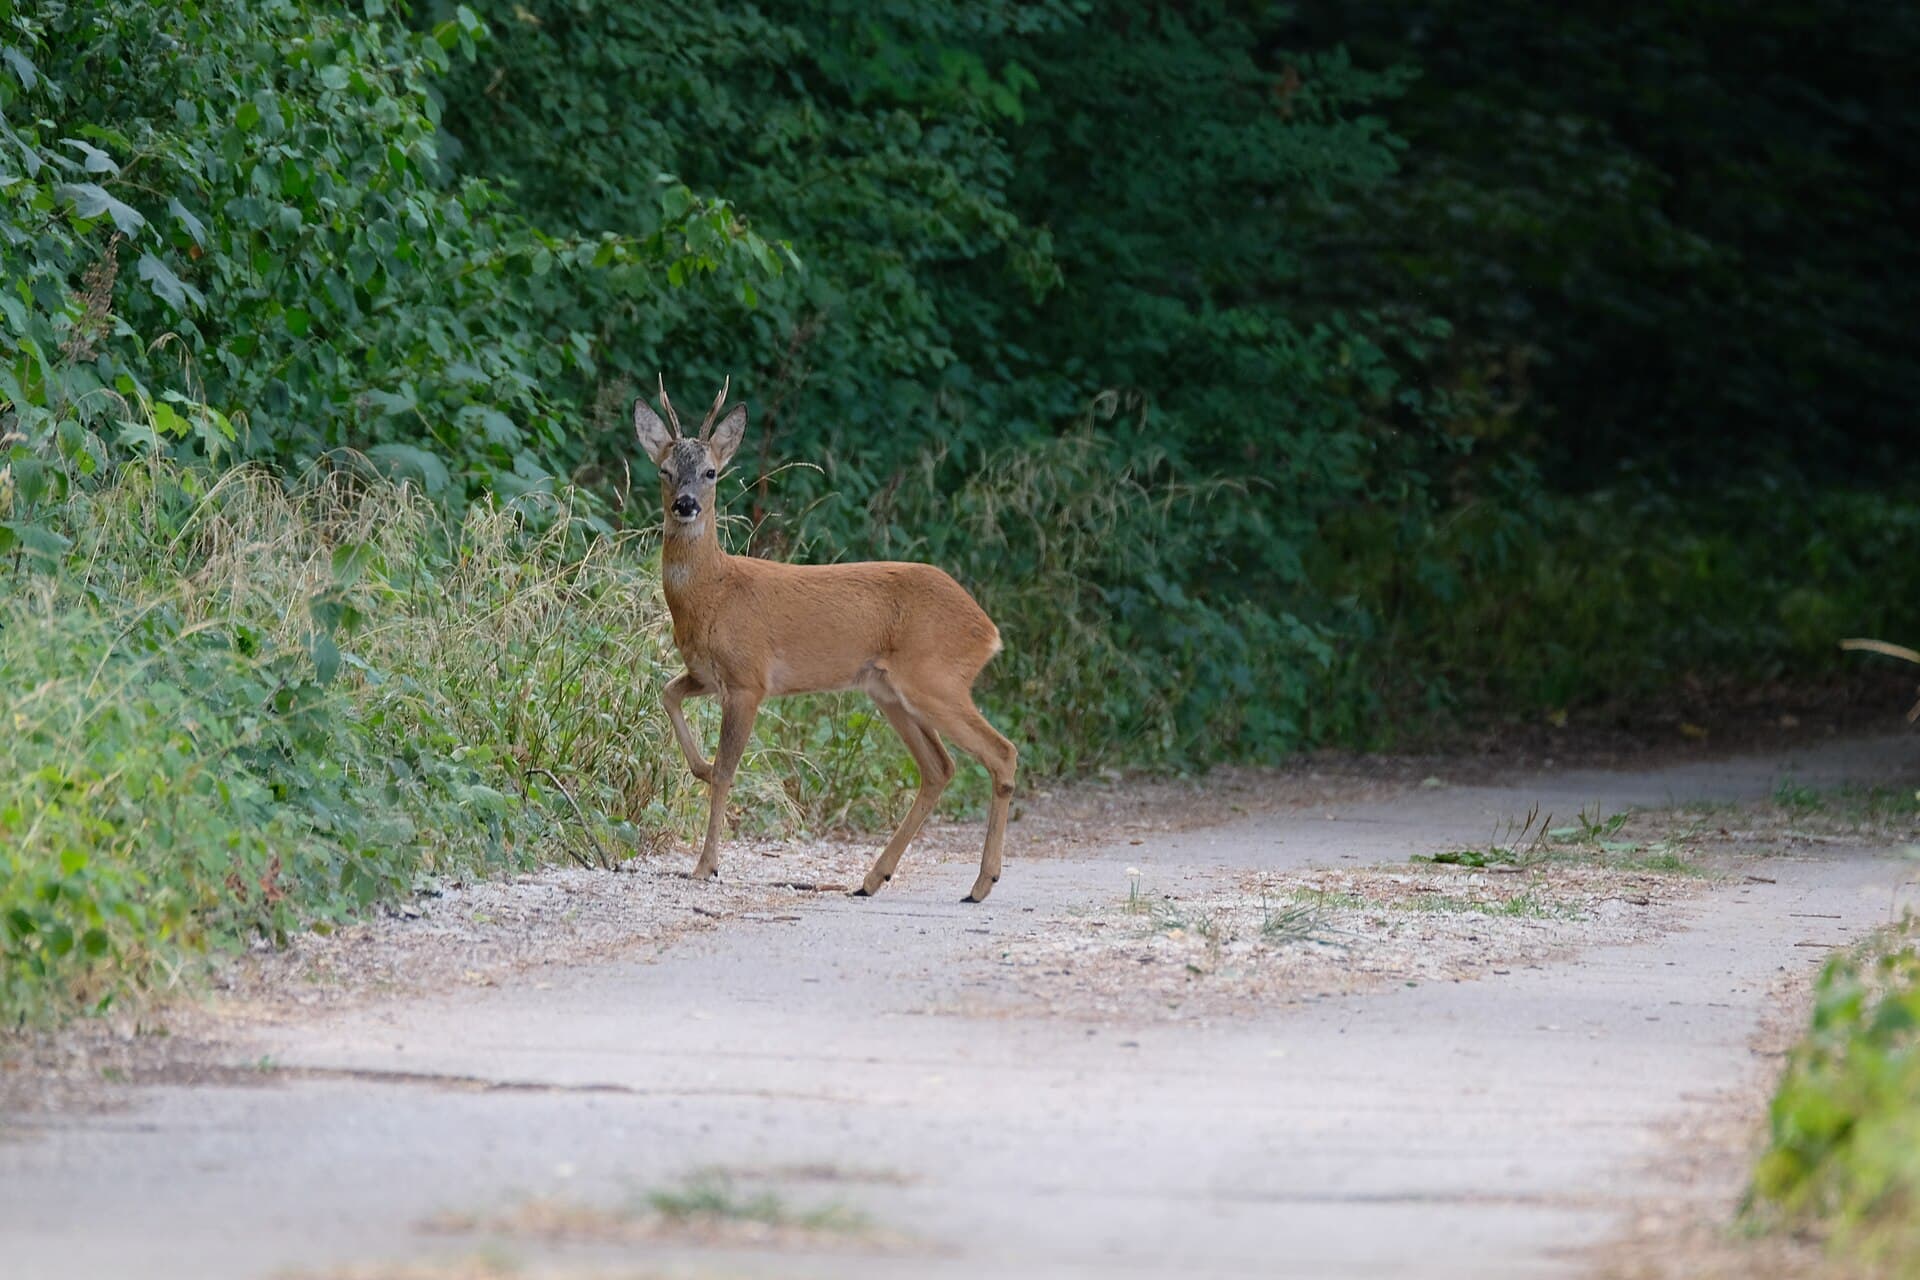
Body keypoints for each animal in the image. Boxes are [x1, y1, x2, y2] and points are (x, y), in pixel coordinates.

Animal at [632, 378, 1018, 903]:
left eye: (711, 472)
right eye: (665, 470)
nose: (685, 504)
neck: (714, 592)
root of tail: (988, 629)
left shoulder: (749, 680)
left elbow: (729, 770)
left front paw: (706, 864)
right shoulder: (705, 674)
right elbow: (667, 695)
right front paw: (700, 768)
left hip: (934, 679)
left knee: (1001, 752)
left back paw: (980, 884)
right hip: (889, 691)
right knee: (939, 768)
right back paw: (874, 879)